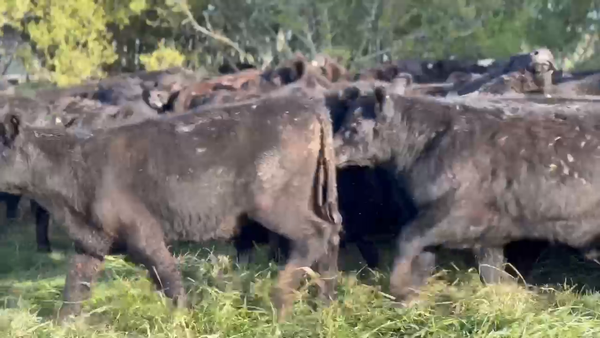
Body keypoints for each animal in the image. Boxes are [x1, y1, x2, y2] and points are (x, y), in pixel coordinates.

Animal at [0, 83, 342, 320]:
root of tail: (305, 105)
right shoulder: (91, 242)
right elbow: (74, 289)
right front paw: (61, 325)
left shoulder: (144, 234)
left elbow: (168, 279)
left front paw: (184, 320)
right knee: (331, 238)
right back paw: (325, 305)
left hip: (275, 207)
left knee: (316, 235)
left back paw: (280, 301)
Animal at [332, 86, 600, 302]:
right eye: (343, 122)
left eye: (354, 127)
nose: (332, 150)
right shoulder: (490, 229)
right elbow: (485, 268)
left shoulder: (455, 214)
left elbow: (407, 239)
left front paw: (398, 287)